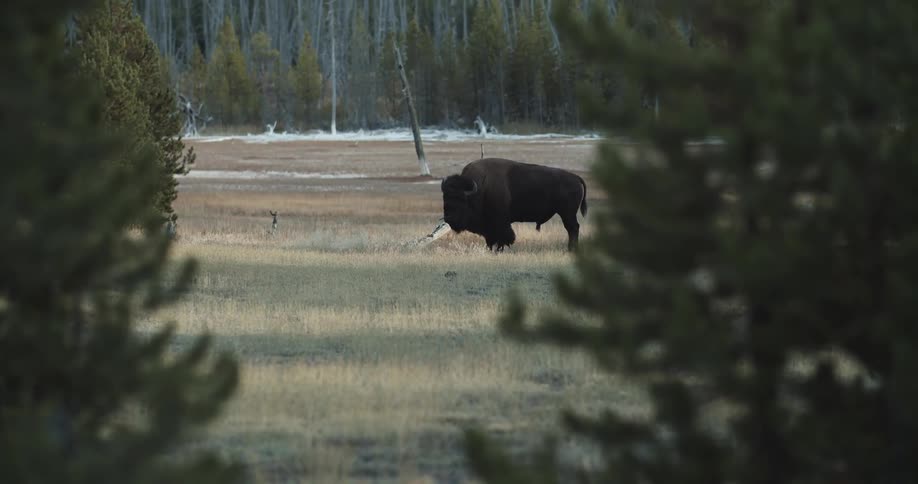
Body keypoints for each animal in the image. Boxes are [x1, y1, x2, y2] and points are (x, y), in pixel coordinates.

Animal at [441, 158, 588, 251]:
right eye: (444, 198)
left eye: (461, 199)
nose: (448, 218)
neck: (481, 189)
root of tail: (576, 178)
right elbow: (491, 239)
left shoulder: (500, 222)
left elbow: (504, 236)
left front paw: (500, 249)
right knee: (572, 229)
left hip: (567, 214)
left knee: (573, 228)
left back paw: (571, 249)